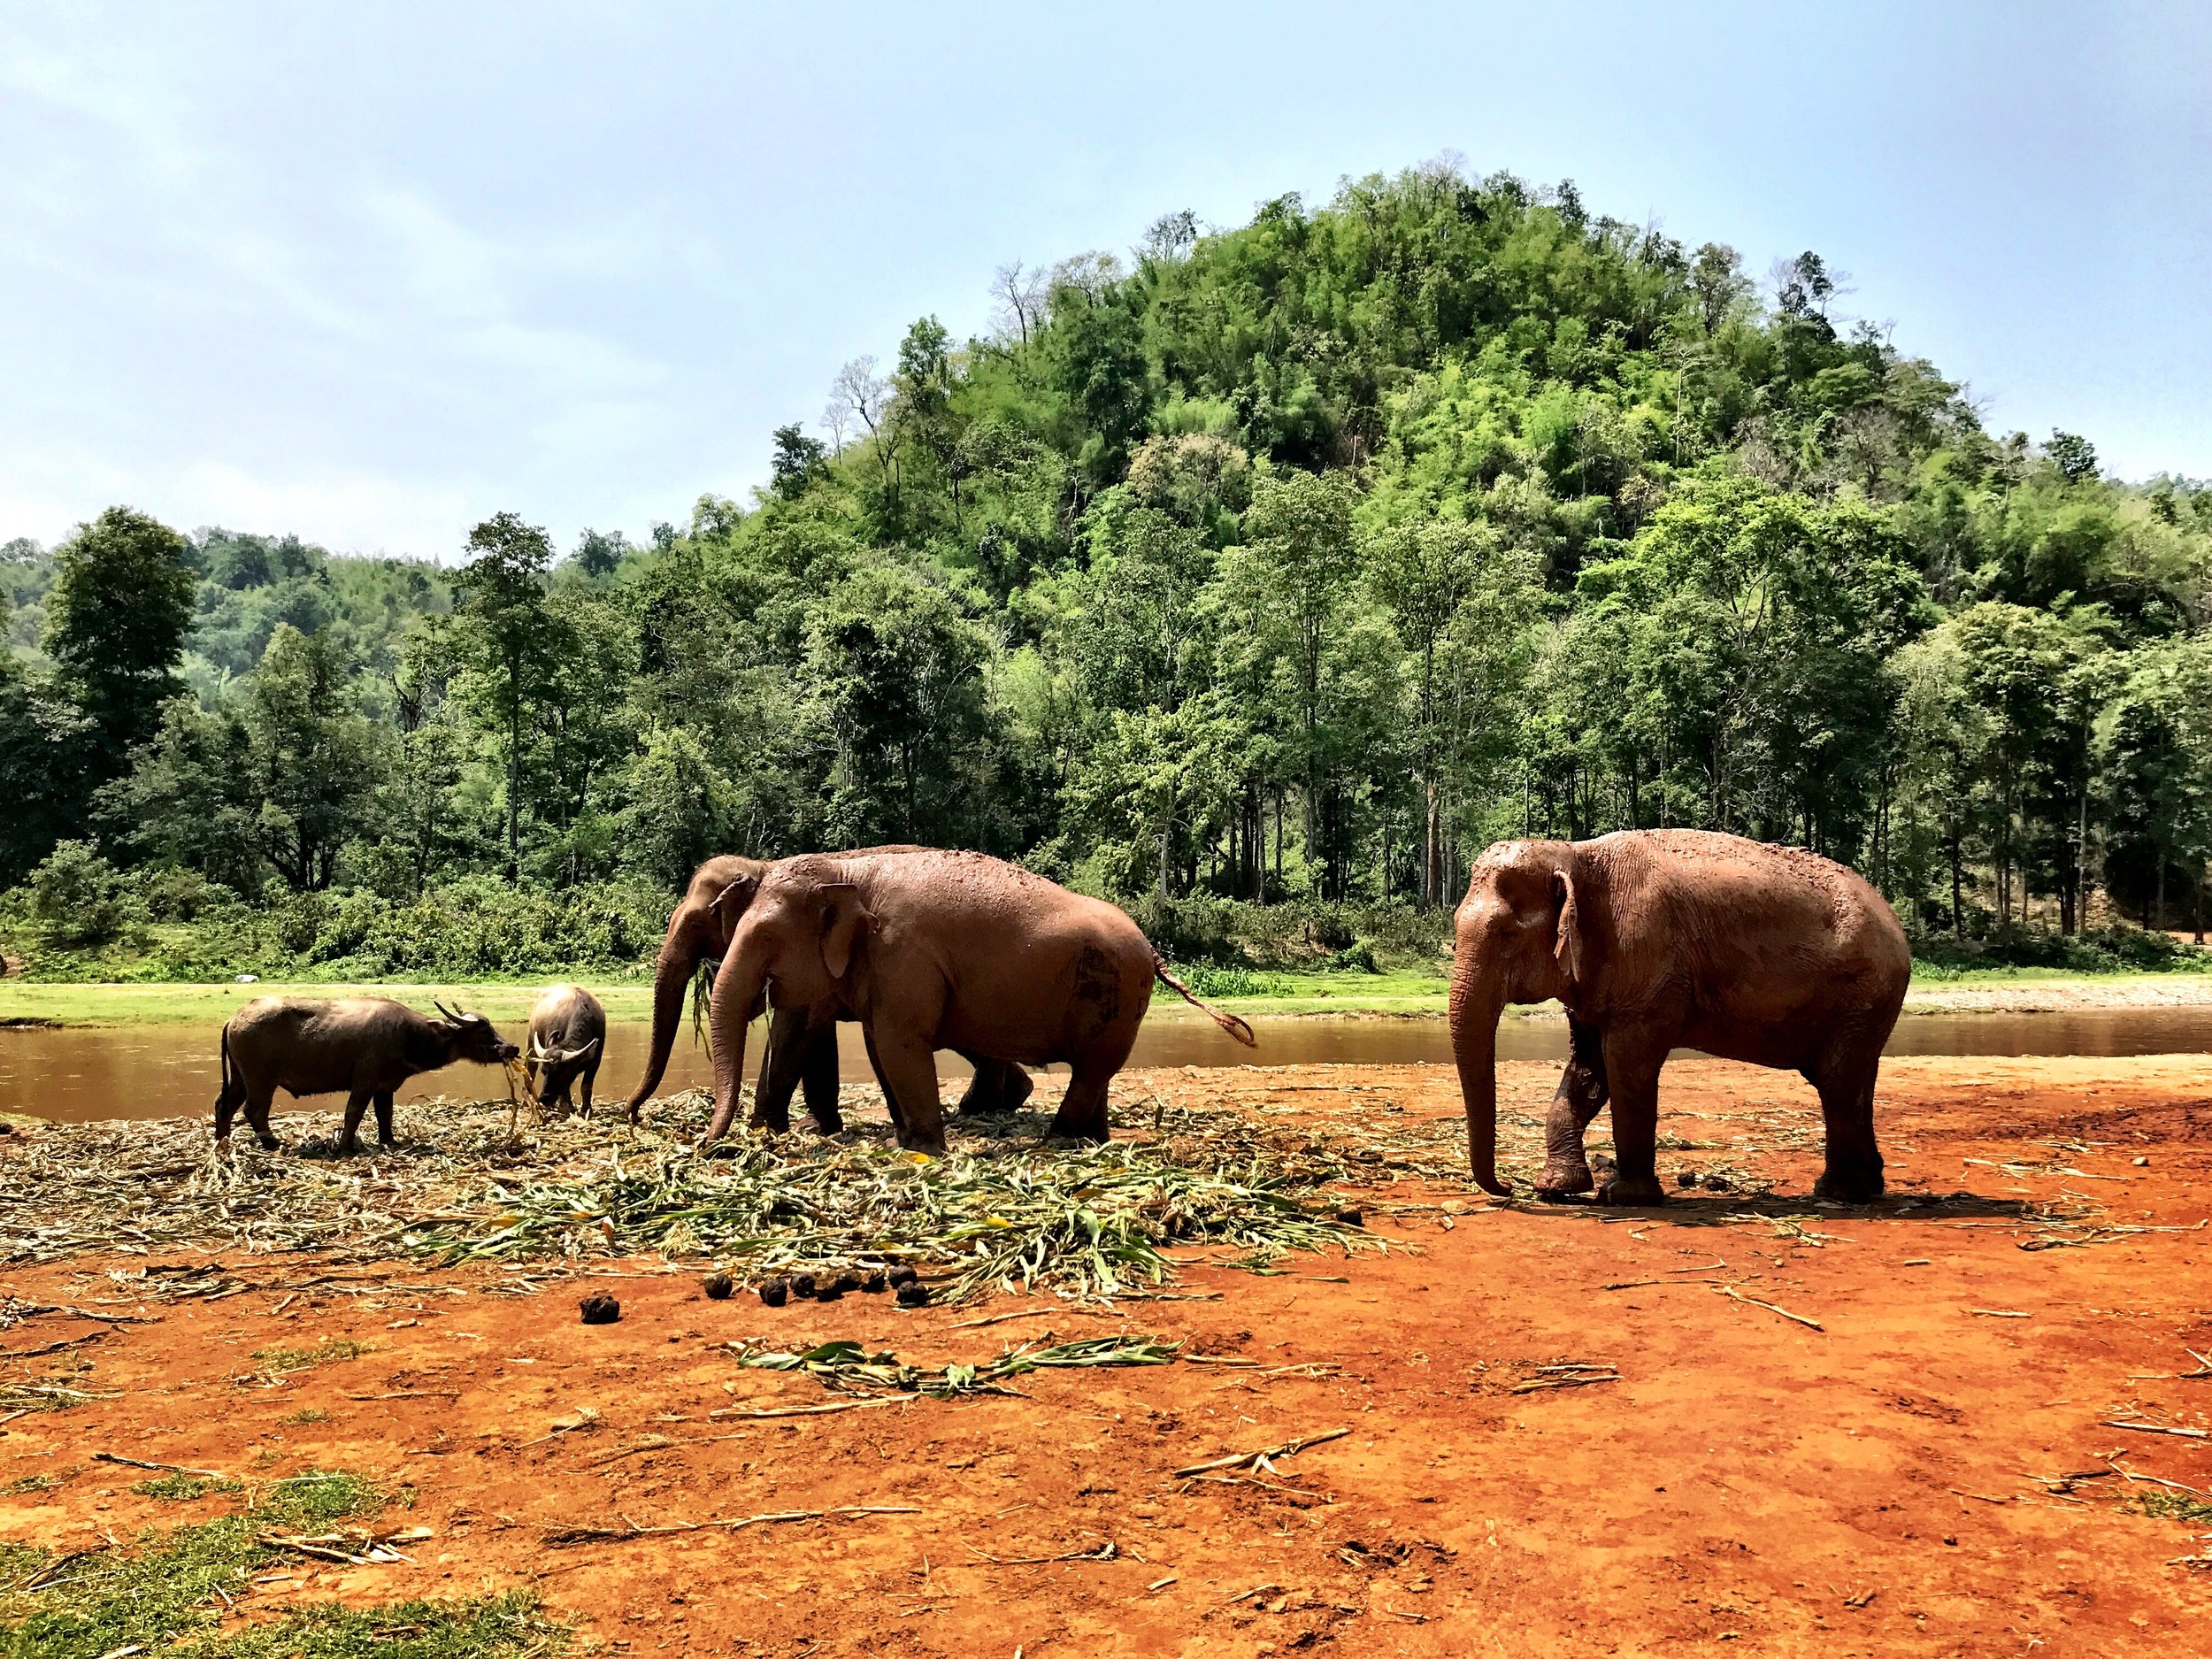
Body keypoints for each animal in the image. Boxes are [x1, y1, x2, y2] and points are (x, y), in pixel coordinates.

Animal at [625, 851, 1034, 1133]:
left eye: (697, 923)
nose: (632, 1114)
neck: (761, 865)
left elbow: (796, 1027)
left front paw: (767, 1127)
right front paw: (816, 1127)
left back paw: (982, 1105)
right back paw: (1004, 1099)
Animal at [705, 848, 1256, 1152]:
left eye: (766, 937)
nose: (709, 1145)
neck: (850, 872)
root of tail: (1155, 951)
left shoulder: (904, 954)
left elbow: (900, 1044)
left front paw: (926, 1150)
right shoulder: (884, 969)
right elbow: (882, 1046)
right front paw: (907, 1142)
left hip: (1117, 993)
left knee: (1092, 1069)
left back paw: (1058, 1140)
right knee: (1096, 1069)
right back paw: (1090, 1141)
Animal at [1448, 830, 1910, 1206]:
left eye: (1507, 935)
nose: (1509, 1187)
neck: (1577, 854)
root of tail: (1894, 921)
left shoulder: (1647, 963)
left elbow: (1626, 1066)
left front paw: (1624, 1196)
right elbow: (1587, 1070)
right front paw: (1557, 1188)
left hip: (1863, 990)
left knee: (1837, 1081)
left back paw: (1836, 1193)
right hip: (1864, 1005)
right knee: (1854, 1080)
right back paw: (1866, 1187)